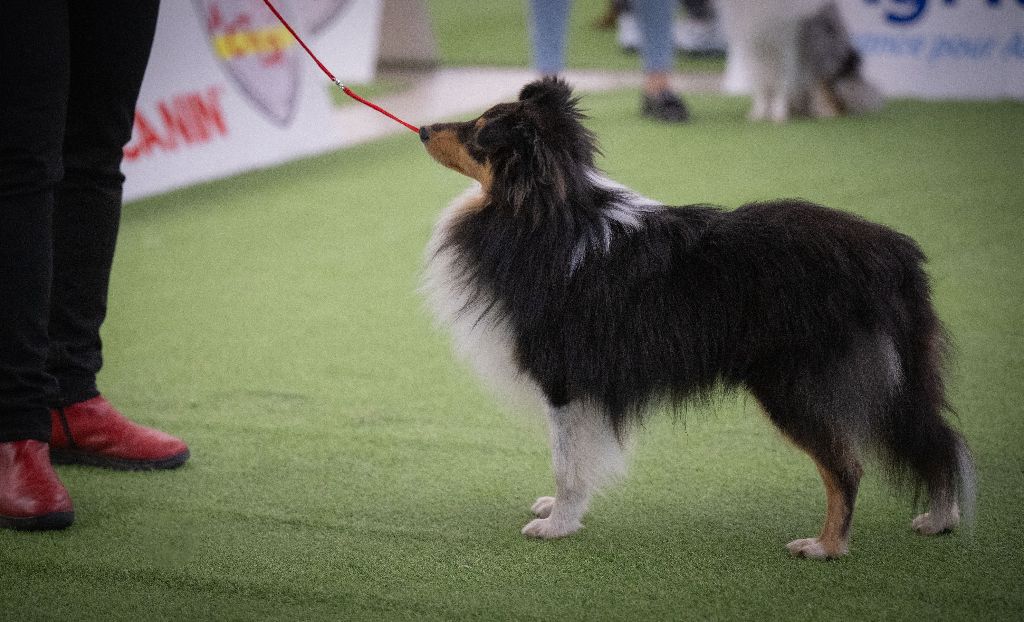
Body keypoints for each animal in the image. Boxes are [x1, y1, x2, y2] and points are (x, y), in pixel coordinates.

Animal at [417, 77, 974, 561]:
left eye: (479, 131)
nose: (422, 128)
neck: (546, 212)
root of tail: (893, 255)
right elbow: (578, 458)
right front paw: (559, 512)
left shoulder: (564, 379)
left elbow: (567, 462)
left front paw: (556, 526)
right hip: (900, 378)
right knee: (939, 439)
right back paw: (939, 519)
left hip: (795, 384)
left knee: (848, 466)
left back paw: (825, 547)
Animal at [716, 0, 884, 121]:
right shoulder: (753, 47)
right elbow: (761, 86)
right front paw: (758, 114)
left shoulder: (787, 45)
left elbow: (782, 83)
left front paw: (779, 114)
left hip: (820, 57)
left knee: (832, 98)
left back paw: (824, 113)